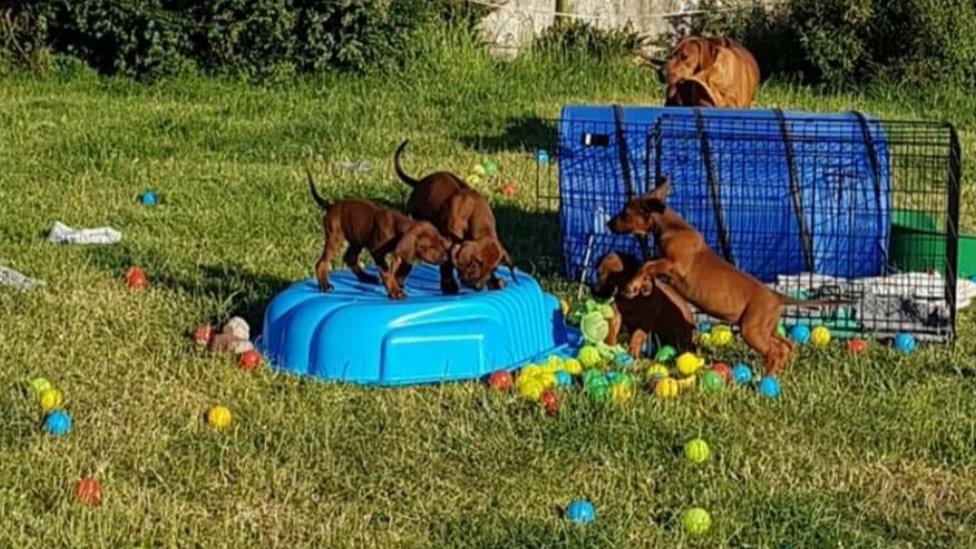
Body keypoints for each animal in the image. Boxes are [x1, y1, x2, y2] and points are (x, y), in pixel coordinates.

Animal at [306, 171, 452, 300]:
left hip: (358, 238)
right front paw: (394, 290)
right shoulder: (377, 252)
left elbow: (398, 268)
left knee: (350, 258)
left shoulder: (398, 251)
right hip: (335, 237)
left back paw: (367, 277)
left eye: (440, 242)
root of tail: (331, 206)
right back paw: (324, 284)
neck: (396, 224)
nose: (445, 258)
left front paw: (396, 283)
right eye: (429, 246)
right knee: (322, 263)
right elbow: (386, 272)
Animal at [394, 141, 520, 296]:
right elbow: (447, 263)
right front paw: (449, 285)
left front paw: (494, 281)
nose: (479, 287)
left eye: (493, 269)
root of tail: (420, 182)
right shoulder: (448, 239)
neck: (473, 212)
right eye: (475, 264)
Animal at [608, 179, 848, 372]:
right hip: (766, 328)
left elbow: (648, 264)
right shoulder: (665, 264)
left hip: (752, 329)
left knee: (775, 351)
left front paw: (632, 284)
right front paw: (642, 286)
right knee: (786, 345)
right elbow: (649, 265)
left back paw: (765, 380)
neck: (671, 226)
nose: (608, 223)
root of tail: (776, 297)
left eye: (625, 212)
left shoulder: (675, 266)